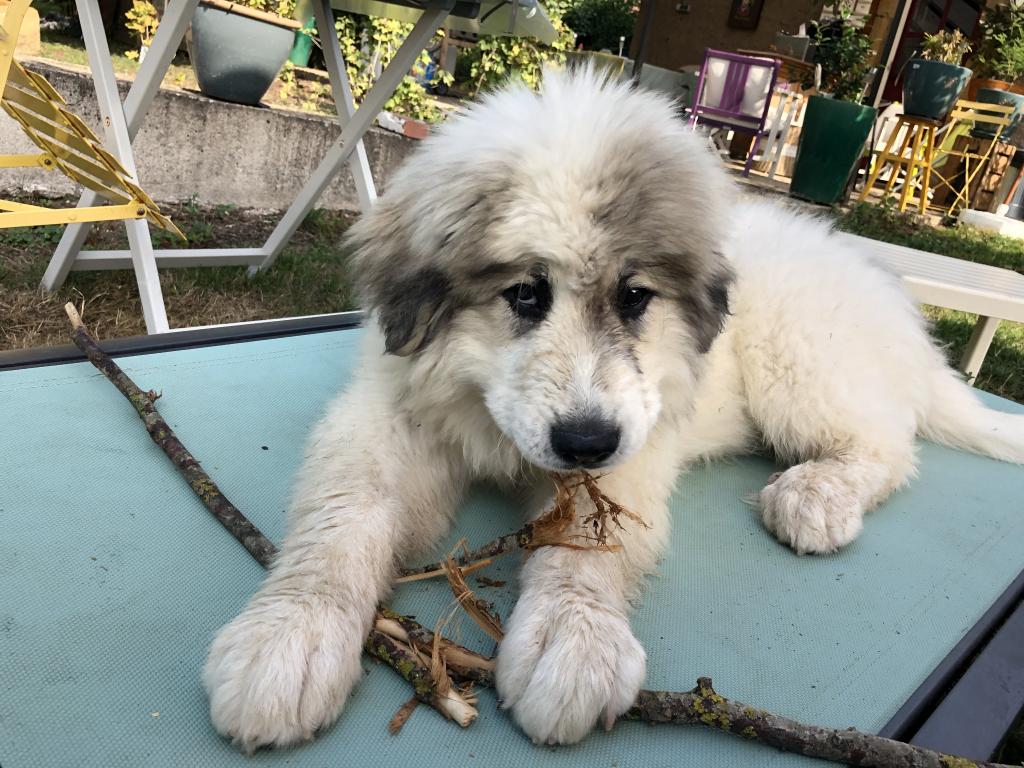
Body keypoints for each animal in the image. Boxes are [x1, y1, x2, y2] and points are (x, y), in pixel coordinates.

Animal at [201, 69, 1024, 753]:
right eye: (524, 293)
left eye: (635, 297)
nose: (587, 441)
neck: (492, 424)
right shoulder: (388, 413)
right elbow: (344, 520)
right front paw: (291, 636)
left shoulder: (636, 443)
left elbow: (589, 540)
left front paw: (573, 638)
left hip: (799, 363)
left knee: (888, 445)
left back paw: (814, 495)